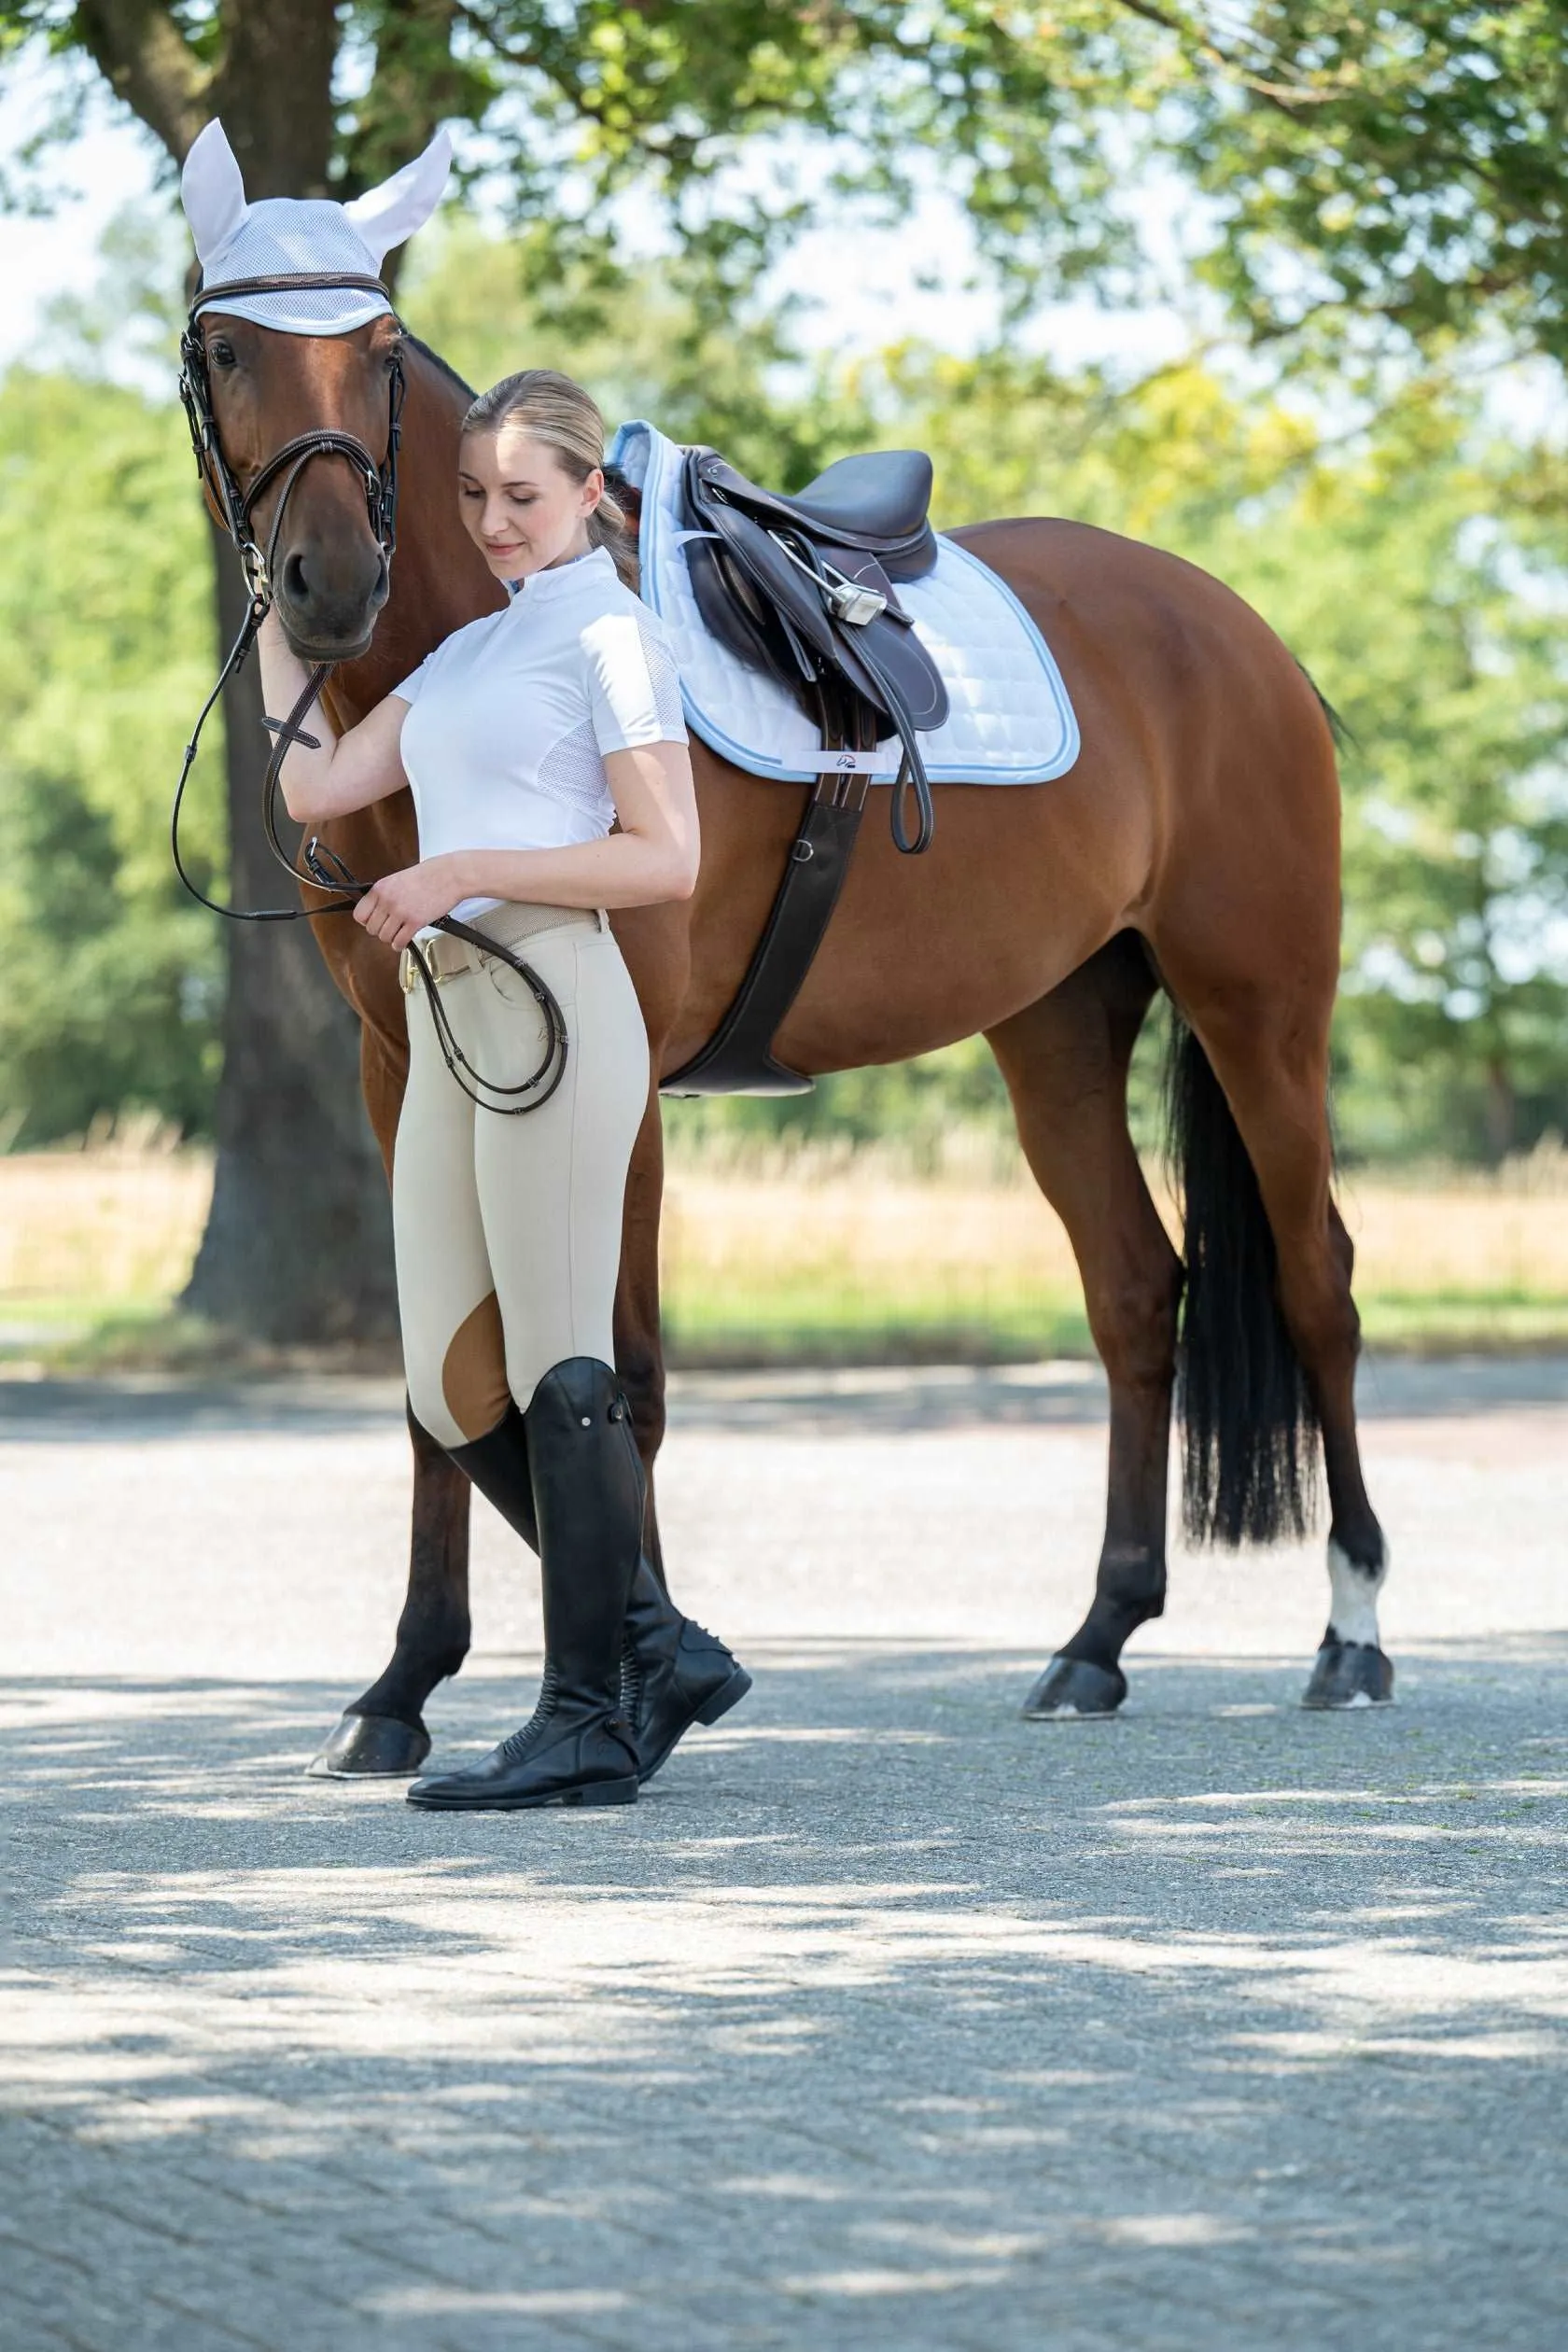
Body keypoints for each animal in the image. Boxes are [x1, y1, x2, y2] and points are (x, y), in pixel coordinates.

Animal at [187, 303, 1401, 1758]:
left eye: (374, 352)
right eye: (225, 349)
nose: (328, 584)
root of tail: (1240, 632)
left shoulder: (616, 1073)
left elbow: (616, 1373)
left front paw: (644, 1686)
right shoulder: (402, 1069)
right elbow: (449, 1374)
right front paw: (399, 1693)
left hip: (1258, 1006)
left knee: (1316, 1282)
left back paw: (1352, 1634)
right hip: (1056, 1028)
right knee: (1131, 1289)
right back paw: (1097, 1640)